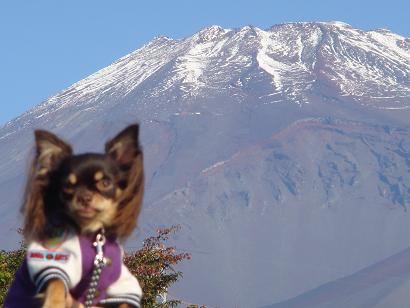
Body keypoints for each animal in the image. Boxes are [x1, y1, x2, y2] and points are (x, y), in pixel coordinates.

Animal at [4, 124, 144, 306]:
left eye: (105, 182)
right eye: (67, 186)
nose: (84, 197)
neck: (92, 235)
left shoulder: (120, 283)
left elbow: (125, 302)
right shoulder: (55, 259)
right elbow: (56, 281)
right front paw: (53, 304)